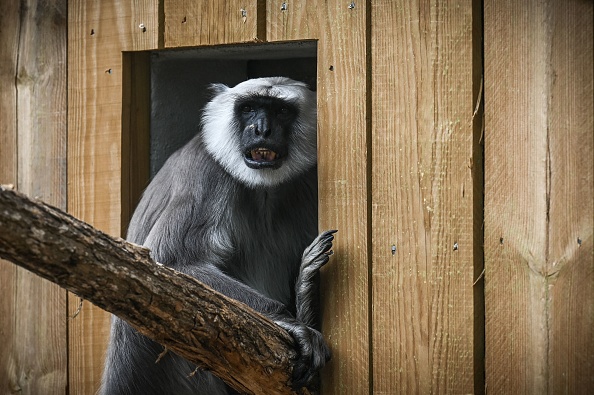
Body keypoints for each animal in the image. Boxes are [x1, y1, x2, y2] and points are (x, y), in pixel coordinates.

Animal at [99, 77, 336, 395]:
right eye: (249, 109)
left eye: (281, 111)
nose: (262, 129)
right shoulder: (208, 170)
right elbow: (173, 264)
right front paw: (289, 323)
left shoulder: (308, 182)